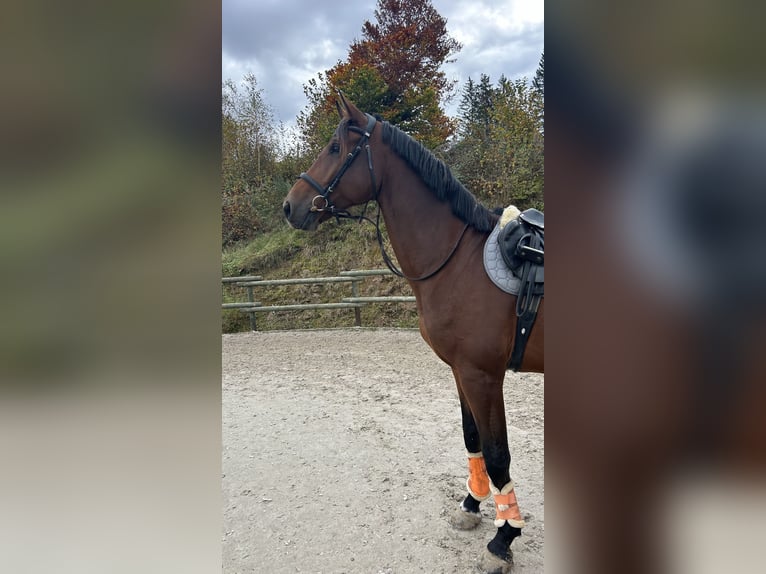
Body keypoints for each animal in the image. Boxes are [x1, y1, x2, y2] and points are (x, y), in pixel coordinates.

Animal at [284, 92, 544, 572]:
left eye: (335, 147)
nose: (290, 206)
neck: (458, 260)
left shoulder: (483, 375)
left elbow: (498, 453)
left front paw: (504, 538)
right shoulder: (462, 373)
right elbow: (472, 438)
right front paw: (472, 505)